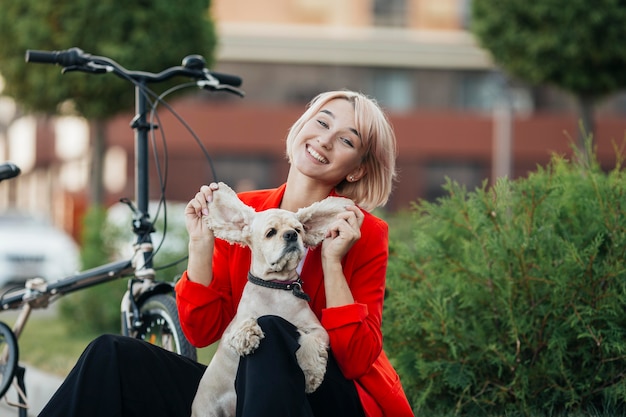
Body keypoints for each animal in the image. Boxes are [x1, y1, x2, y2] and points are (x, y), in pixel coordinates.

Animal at [190, 182, 354, 416]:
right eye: (270, 233)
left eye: (299, 229)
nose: (291, 235)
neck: (276, 286)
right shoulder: (233, 328)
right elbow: (244, 324)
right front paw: (248, 335)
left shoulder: (319, 330)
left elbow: (311, 342)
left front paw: (310, 373)